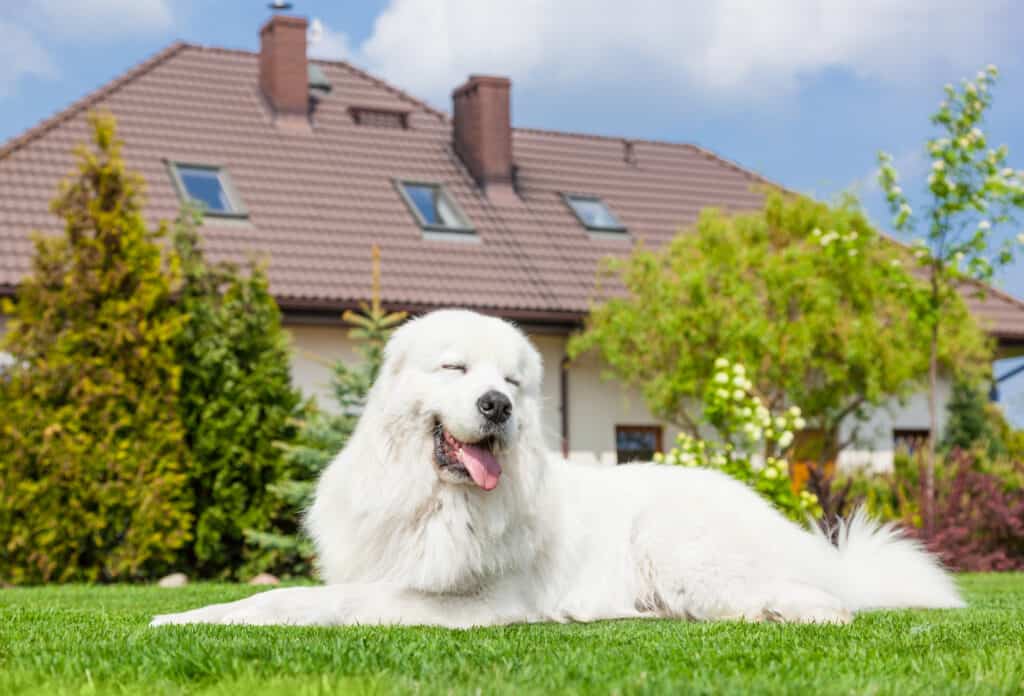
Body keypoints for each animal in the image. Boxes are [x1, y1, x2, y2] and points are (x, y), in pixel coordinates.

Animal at [149, 307, 958, 626]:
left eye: (511, 381)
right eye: (455, 368)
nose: (497, 406)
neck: (432, 497)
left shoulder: (470, 601)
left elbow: (328, 603)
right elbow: (274, 597)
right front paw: (184, 616)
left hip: (678, 544)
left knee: (809, 600)